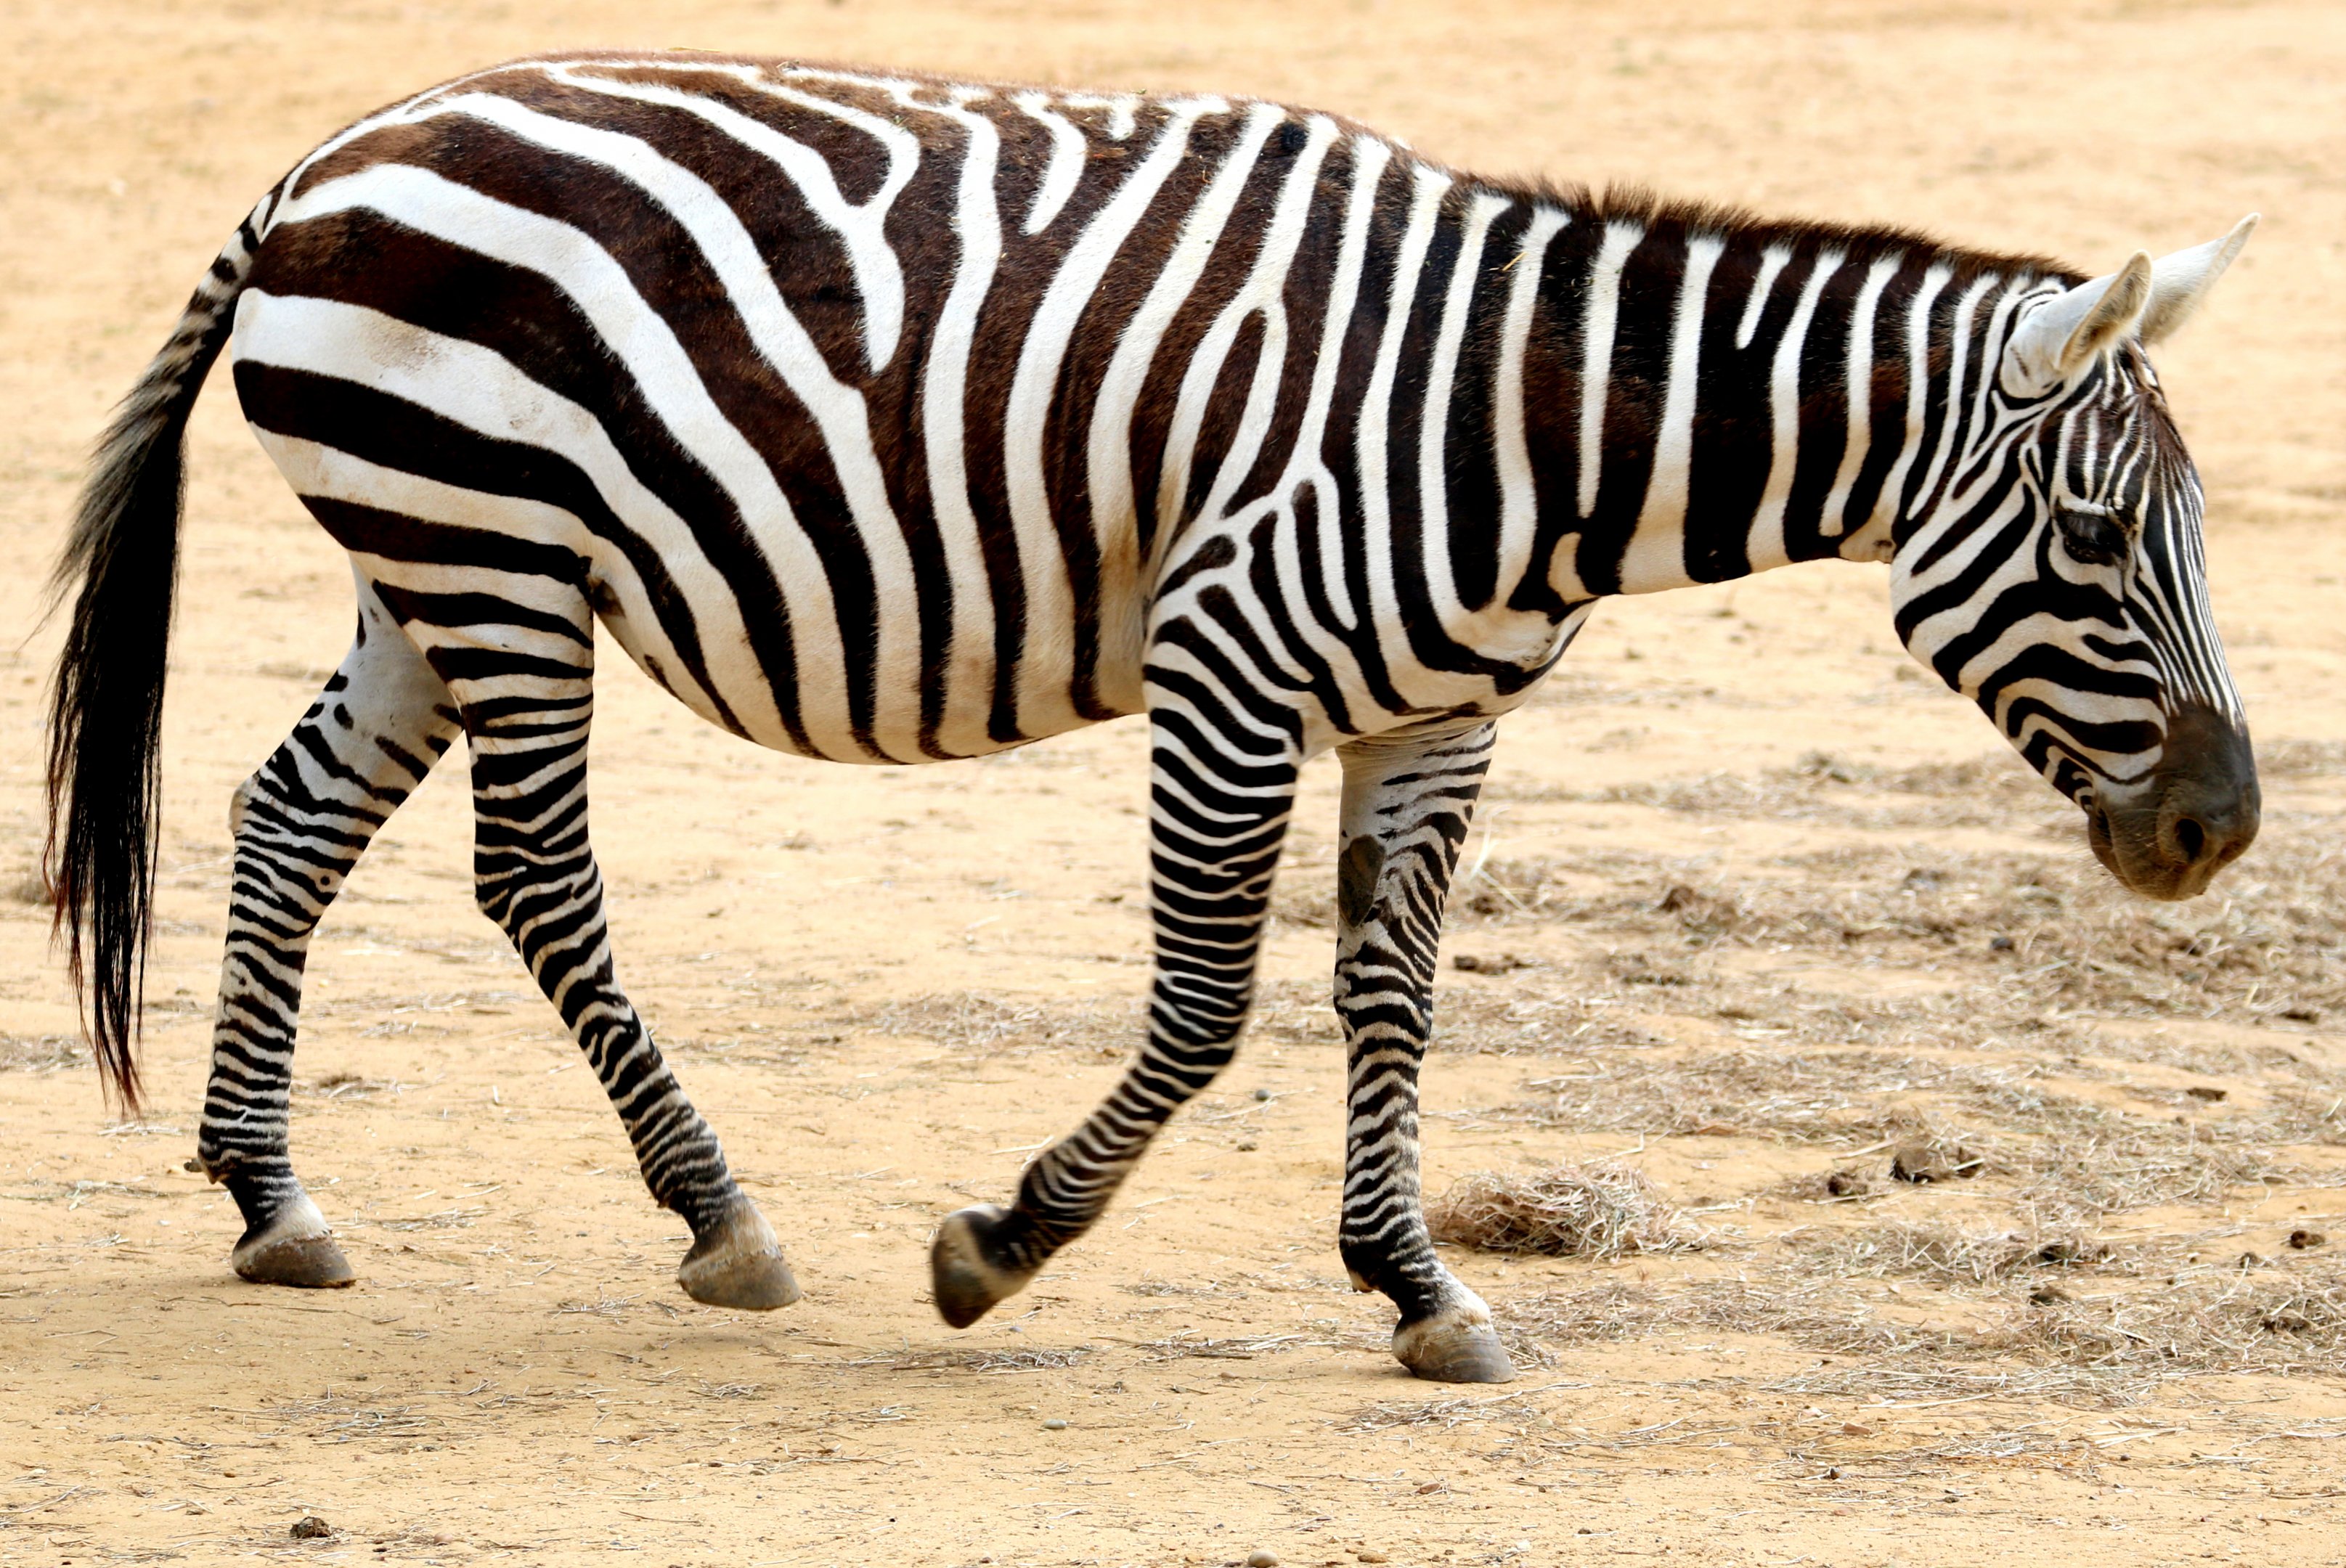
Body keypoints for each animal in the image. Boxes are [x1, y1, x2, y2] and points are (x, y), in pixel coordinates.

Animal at [44, 53, 2259, 1384]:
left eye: (2187, 525)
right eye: (2088, 533)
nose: (2222, 828)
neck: (1528, 425)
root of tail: (329, 154)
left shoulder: (1433, 717)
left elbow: (1390, 1000)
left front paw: (1419, 1287)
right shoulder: (1228, 667)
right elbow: (1204, 1011)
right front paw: (998, 1244)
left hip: (426, 568)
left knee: (285, 817)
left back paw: (271, 1201)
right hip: (492, 553)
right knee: (532, 876)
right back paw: (721, 1217)